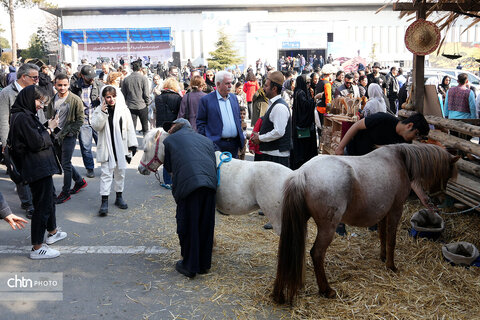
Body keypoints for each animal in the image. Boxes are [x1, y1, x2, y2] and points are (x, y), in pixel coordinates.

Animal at [274, 144, 458, 304]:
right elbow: (391, 239)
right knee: (317, 253)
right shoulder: (395, 210)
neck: (400, 160)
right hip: (327, 228)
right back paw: (326, 290)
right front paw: (391, 266)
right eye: (447, 174)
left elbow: (383, 235)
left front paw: (383, 257)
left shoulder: (384, 211)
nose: (438, 200)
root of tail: (302, 173)